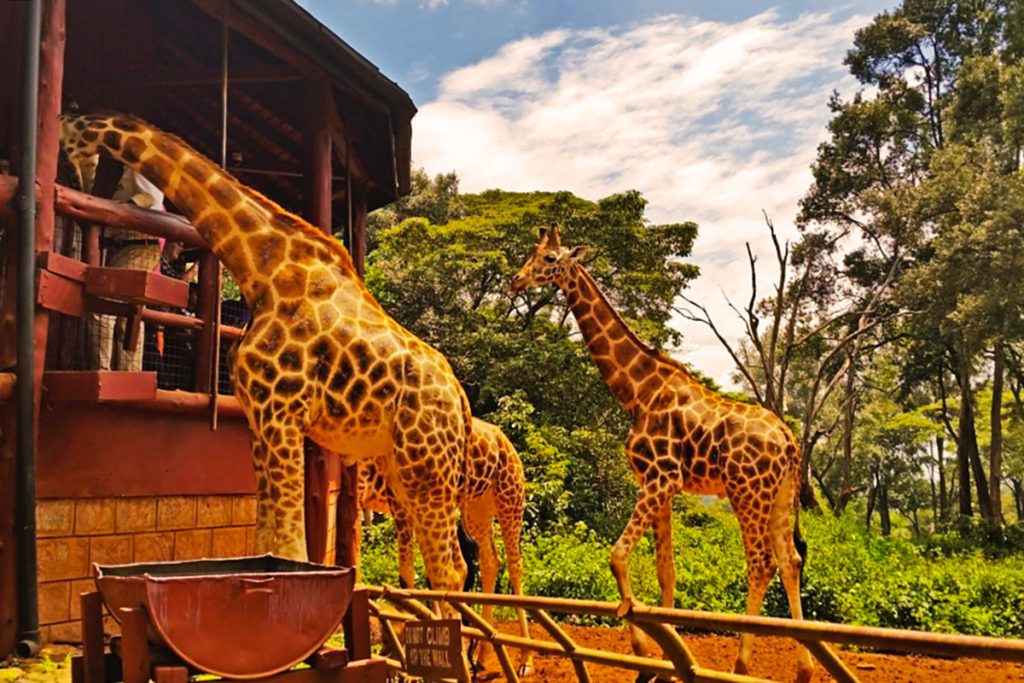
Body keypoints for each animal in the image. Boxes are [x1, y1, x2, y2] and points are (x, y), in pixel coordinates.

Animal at [59, 112, 473, 596]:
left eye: (70, 141)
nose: (77, 182)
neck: (262, 270)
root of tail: (461, 403)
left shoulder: (282, 414)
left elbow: (292, 548)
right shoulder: (258, 420)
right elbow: (265, 542)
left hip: (426, 465)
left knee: (450, 568)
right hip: (401, 465)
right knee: (448, 562)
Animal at [360, 416, 533, 675]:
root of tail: (507, 442)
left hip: (510, 498)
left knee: (514, 566)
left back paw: (525, 661)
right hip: (477, 508)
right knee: (490, 560)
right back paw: (481, 656)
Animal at [511, 226, 813, 683]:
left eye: (549, 258)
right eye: (531, 253)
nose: (515, 281)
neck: (637, 392)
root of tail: (788, 439)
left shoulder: (658, 478)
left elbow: (617, 555)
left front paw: (642, 653)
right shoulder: (663, 486)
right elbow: (665, 570)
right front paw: (668, 659)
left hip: (747, 491)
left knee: (762, 563)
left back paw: (742, 665)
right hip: (779, 495)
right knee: (791, 559)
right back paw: (805, 667)